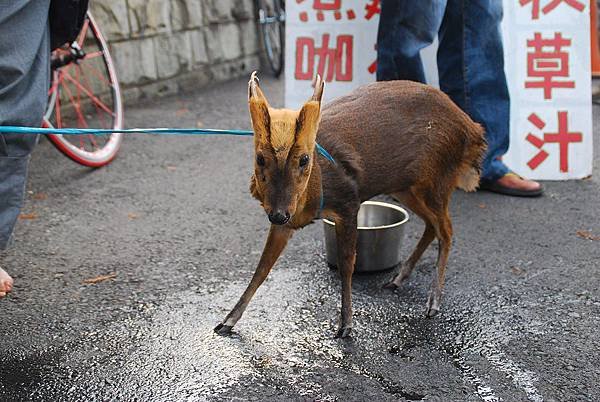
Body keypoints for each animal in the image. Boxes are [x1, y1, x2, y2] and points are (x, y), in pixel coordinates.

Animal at [216, 73, 488, 340]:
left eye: (304, 159)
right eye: (260, 158)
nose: (279, 214)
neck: (317, 190)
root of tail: (473, 130)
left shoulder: (349, 202)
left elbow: (347, 265)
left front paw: (346, 325)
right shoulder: (287, 222)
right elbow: (262, 268)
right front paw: (227, 321)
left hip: (437, 178)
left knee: (447, 231)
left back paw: (433, 301)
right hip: (406, 186)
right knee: (432, 226)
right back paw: (398, 278)